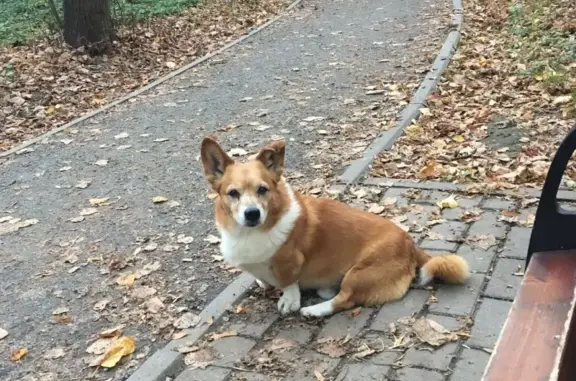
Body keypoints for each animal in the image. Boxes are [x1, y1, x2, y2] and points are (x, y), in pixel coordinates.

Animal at [200, 138, 470, 316]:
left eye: (262, 189)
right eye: (233, 193)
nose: (252, 213)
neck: (251, 232)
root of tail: (411, 244)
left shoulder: (289, 262)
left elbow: (289, 283)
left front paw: (289, 300)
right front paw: (263, 281)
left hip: (358, 273)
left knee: (345, 300)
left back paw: (314, 310)